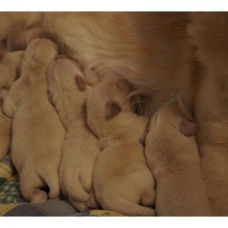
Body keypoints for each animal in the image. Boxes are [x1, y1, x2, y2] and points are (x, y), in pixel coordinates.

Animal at [0, 37, 66, 203]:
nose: (44, 36)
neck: (36, 67)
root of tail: (45, 168)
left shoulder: (14, 90)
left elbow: (7, 107)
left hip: (27, 180)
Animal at [46, 57, 100, 212]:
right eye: (73, 63)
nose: (58, 57)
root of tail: (70, 179)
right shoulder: (92, 90)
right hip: (88, 179)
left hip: (69, 192)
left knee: (78, 202)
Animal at [86, 79, 156, 216]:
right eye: (118, 86)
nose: (124, 79)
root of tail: (110, 200)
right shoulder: (137, 122)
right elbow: (145, 119)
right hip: (144, 174)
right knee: (147, 199)